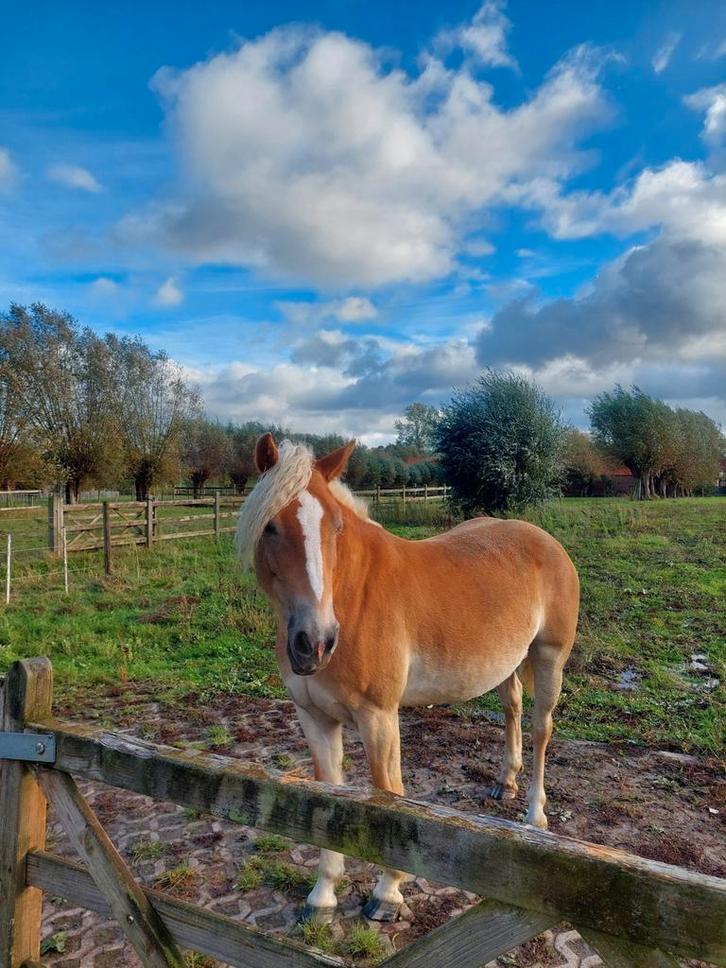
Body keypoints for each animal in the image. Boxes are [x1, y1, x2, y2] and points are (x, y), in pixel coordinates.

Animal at [236, 433, 579, 923]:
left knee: (540, 729)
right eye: (271, 527)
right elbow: (326, 797)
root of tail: (543, 539)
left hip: (549, 659)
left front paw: (388, 893)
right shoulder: (314, 718)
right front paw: (322, 896)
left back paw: (535, 817)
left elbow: (388, 794)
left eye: (336, 527)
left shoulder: (379, 717)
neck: (351, 598)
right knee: (512, 709)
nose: (314, 643)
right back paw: (505, 781)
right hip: (507, 664)